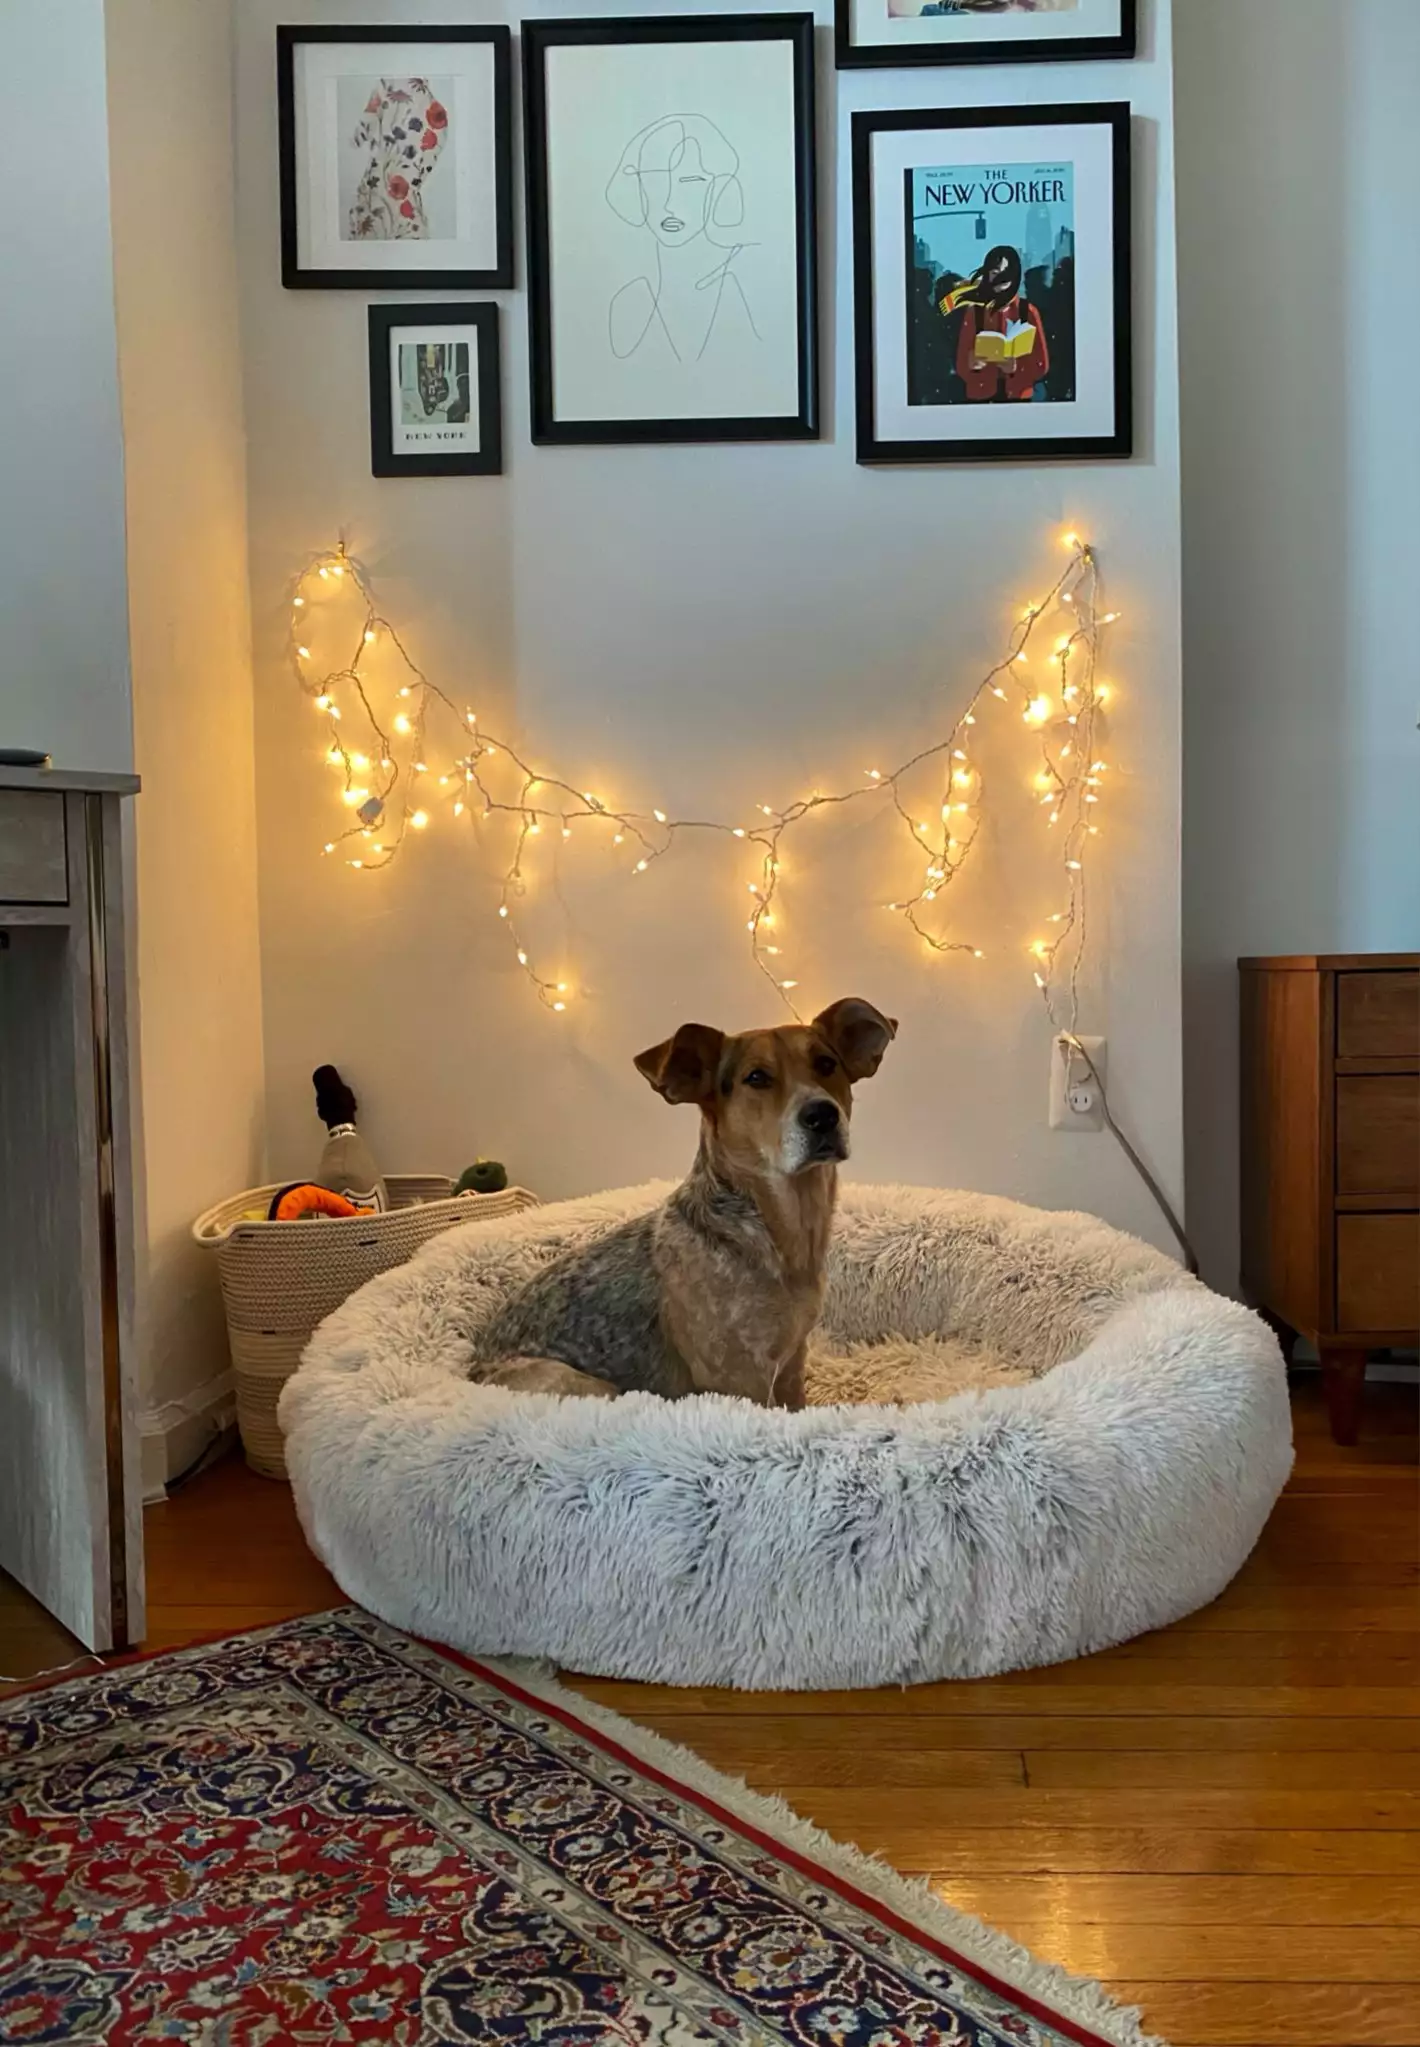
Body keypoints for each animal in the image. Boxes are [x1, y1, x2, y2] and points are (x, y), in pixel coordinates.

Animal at [470, 994, 900, 1408]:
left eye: (826, 1063)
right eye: (756, 1077)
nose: (822, 1115)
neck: (780, 1229)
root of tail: (472, 1373)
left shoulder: (792, 1360)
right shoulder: (740, 1381)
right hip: (591, 1387)